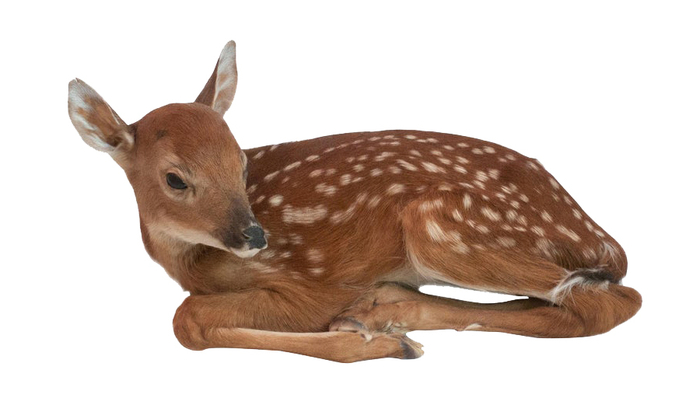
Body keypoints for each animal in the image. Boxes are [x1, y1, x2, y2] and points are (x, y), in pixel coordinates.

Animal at [67, 41, 642, 362]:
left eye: (241, 162)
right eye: (175, 179)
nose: (255, 235)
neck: (194, 258)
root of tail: (601, 235)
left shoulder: (310, 283)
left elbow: (186, 318)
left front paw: (372, 342)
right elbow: (189, 315)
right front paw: (376, 332)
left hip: (443, 226)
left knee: (610, 301)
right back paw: (385, 309)